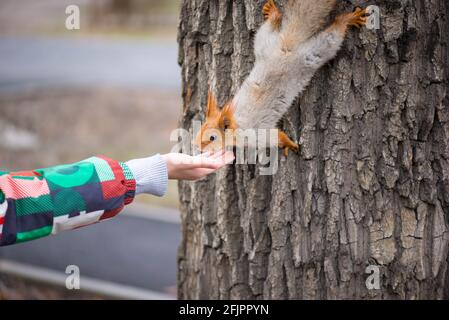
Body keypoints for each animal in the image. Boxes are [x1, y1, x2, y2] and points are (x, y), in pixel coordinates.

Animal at [194, 0, 370, 157]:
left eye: (212, 137)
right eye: (199, 130)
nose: (196, 146)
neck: (235, 125)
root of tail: (285, 48)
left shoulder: (255, 134)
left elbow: (277, 137)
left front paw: (289, 144)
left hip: (311, 56)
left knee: (332, 38)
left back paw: (346, 19)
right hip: (264, 44)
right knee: (268, 29)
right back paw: (273, 13)